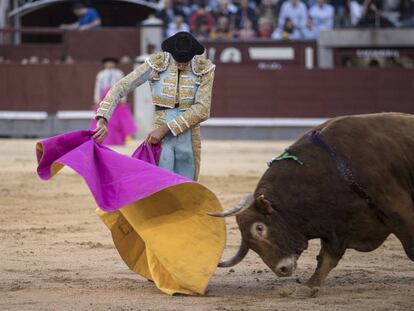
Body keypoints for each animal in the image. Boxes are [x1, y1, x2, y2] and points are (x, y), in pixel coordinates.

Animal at [210, 113, 414, 298]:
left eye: (259, 228)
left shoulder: (397, 207)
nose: (281, 269)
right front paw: (308, 287)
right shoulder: (338, 226)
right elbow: (327, 259)